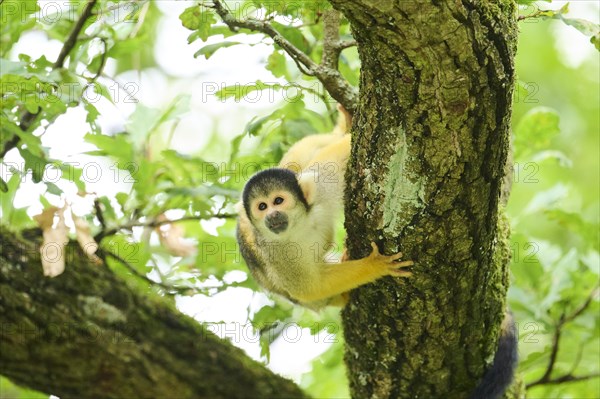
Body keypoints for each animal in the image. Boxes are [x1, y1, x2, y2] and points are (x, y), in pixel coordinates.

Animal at [234, 107, 412, 310]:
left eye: (278, 201)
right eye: (262, 206)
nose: (272, 215)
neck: (301, 223)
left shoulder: (322, 185)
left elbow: (339, 155)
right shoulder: (276, 252)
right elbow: (311, 287)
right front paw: (375, 265)